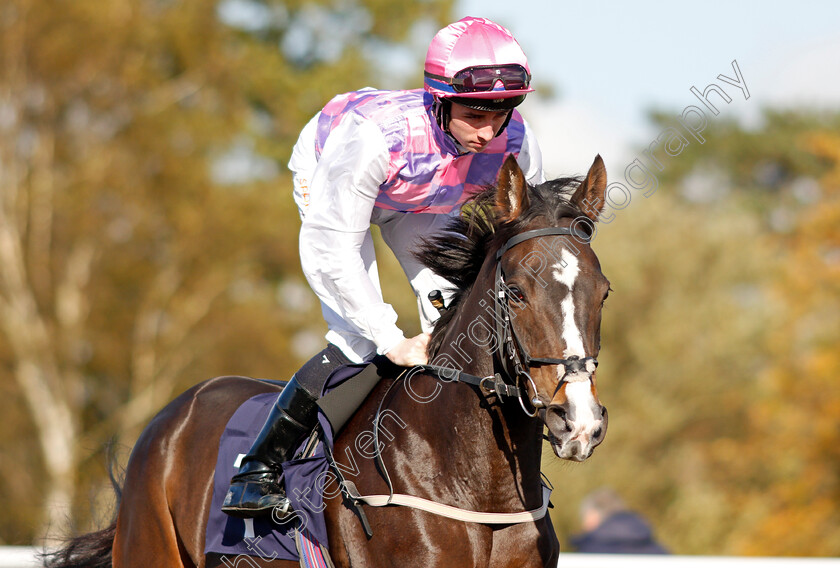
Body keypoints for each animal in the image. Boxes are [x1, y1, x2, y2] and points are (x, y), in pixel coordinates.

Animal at [46, 155, 612, 568]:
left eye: (603, 292)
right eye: (515, 293)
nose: (578, 421)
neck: (480, 492)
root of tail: (172, 415)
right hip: (150, 549)